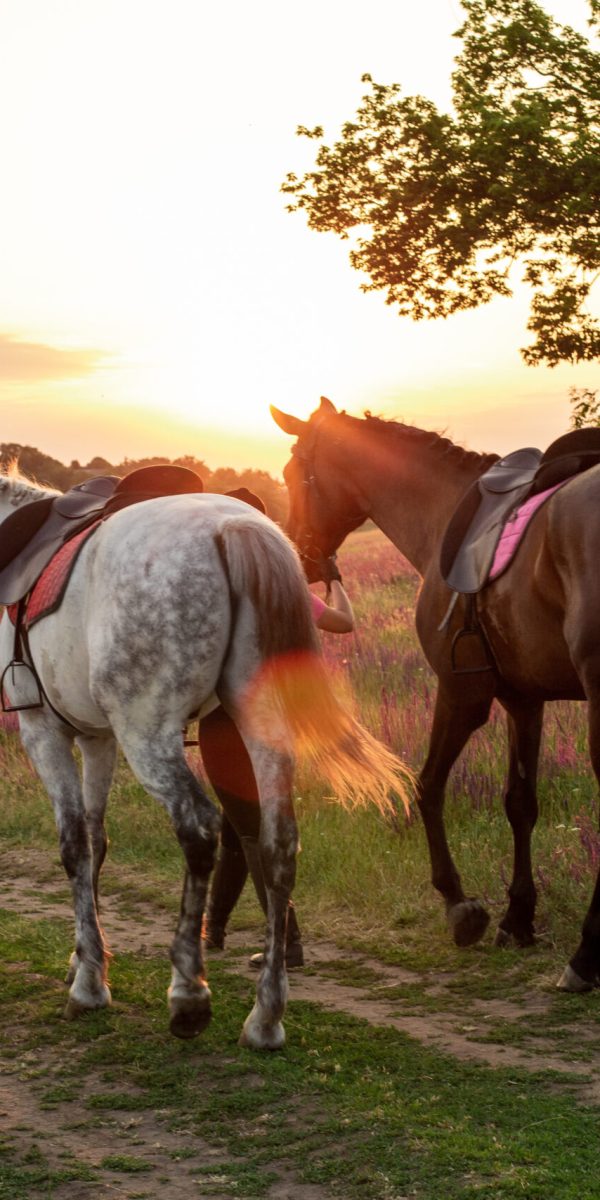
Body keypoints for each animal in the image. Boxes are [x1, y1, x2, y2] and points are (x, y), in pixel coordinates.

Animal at [271, 398, 600, 988]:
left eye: (291, 474)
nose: (301, 559)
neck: (444, 512)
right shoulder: (523, 699)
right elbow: (520, 803)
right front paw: (517, 918)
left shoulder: (461, 693)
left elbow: (425, 786)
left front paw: (458, 905)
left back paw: (585, 957)